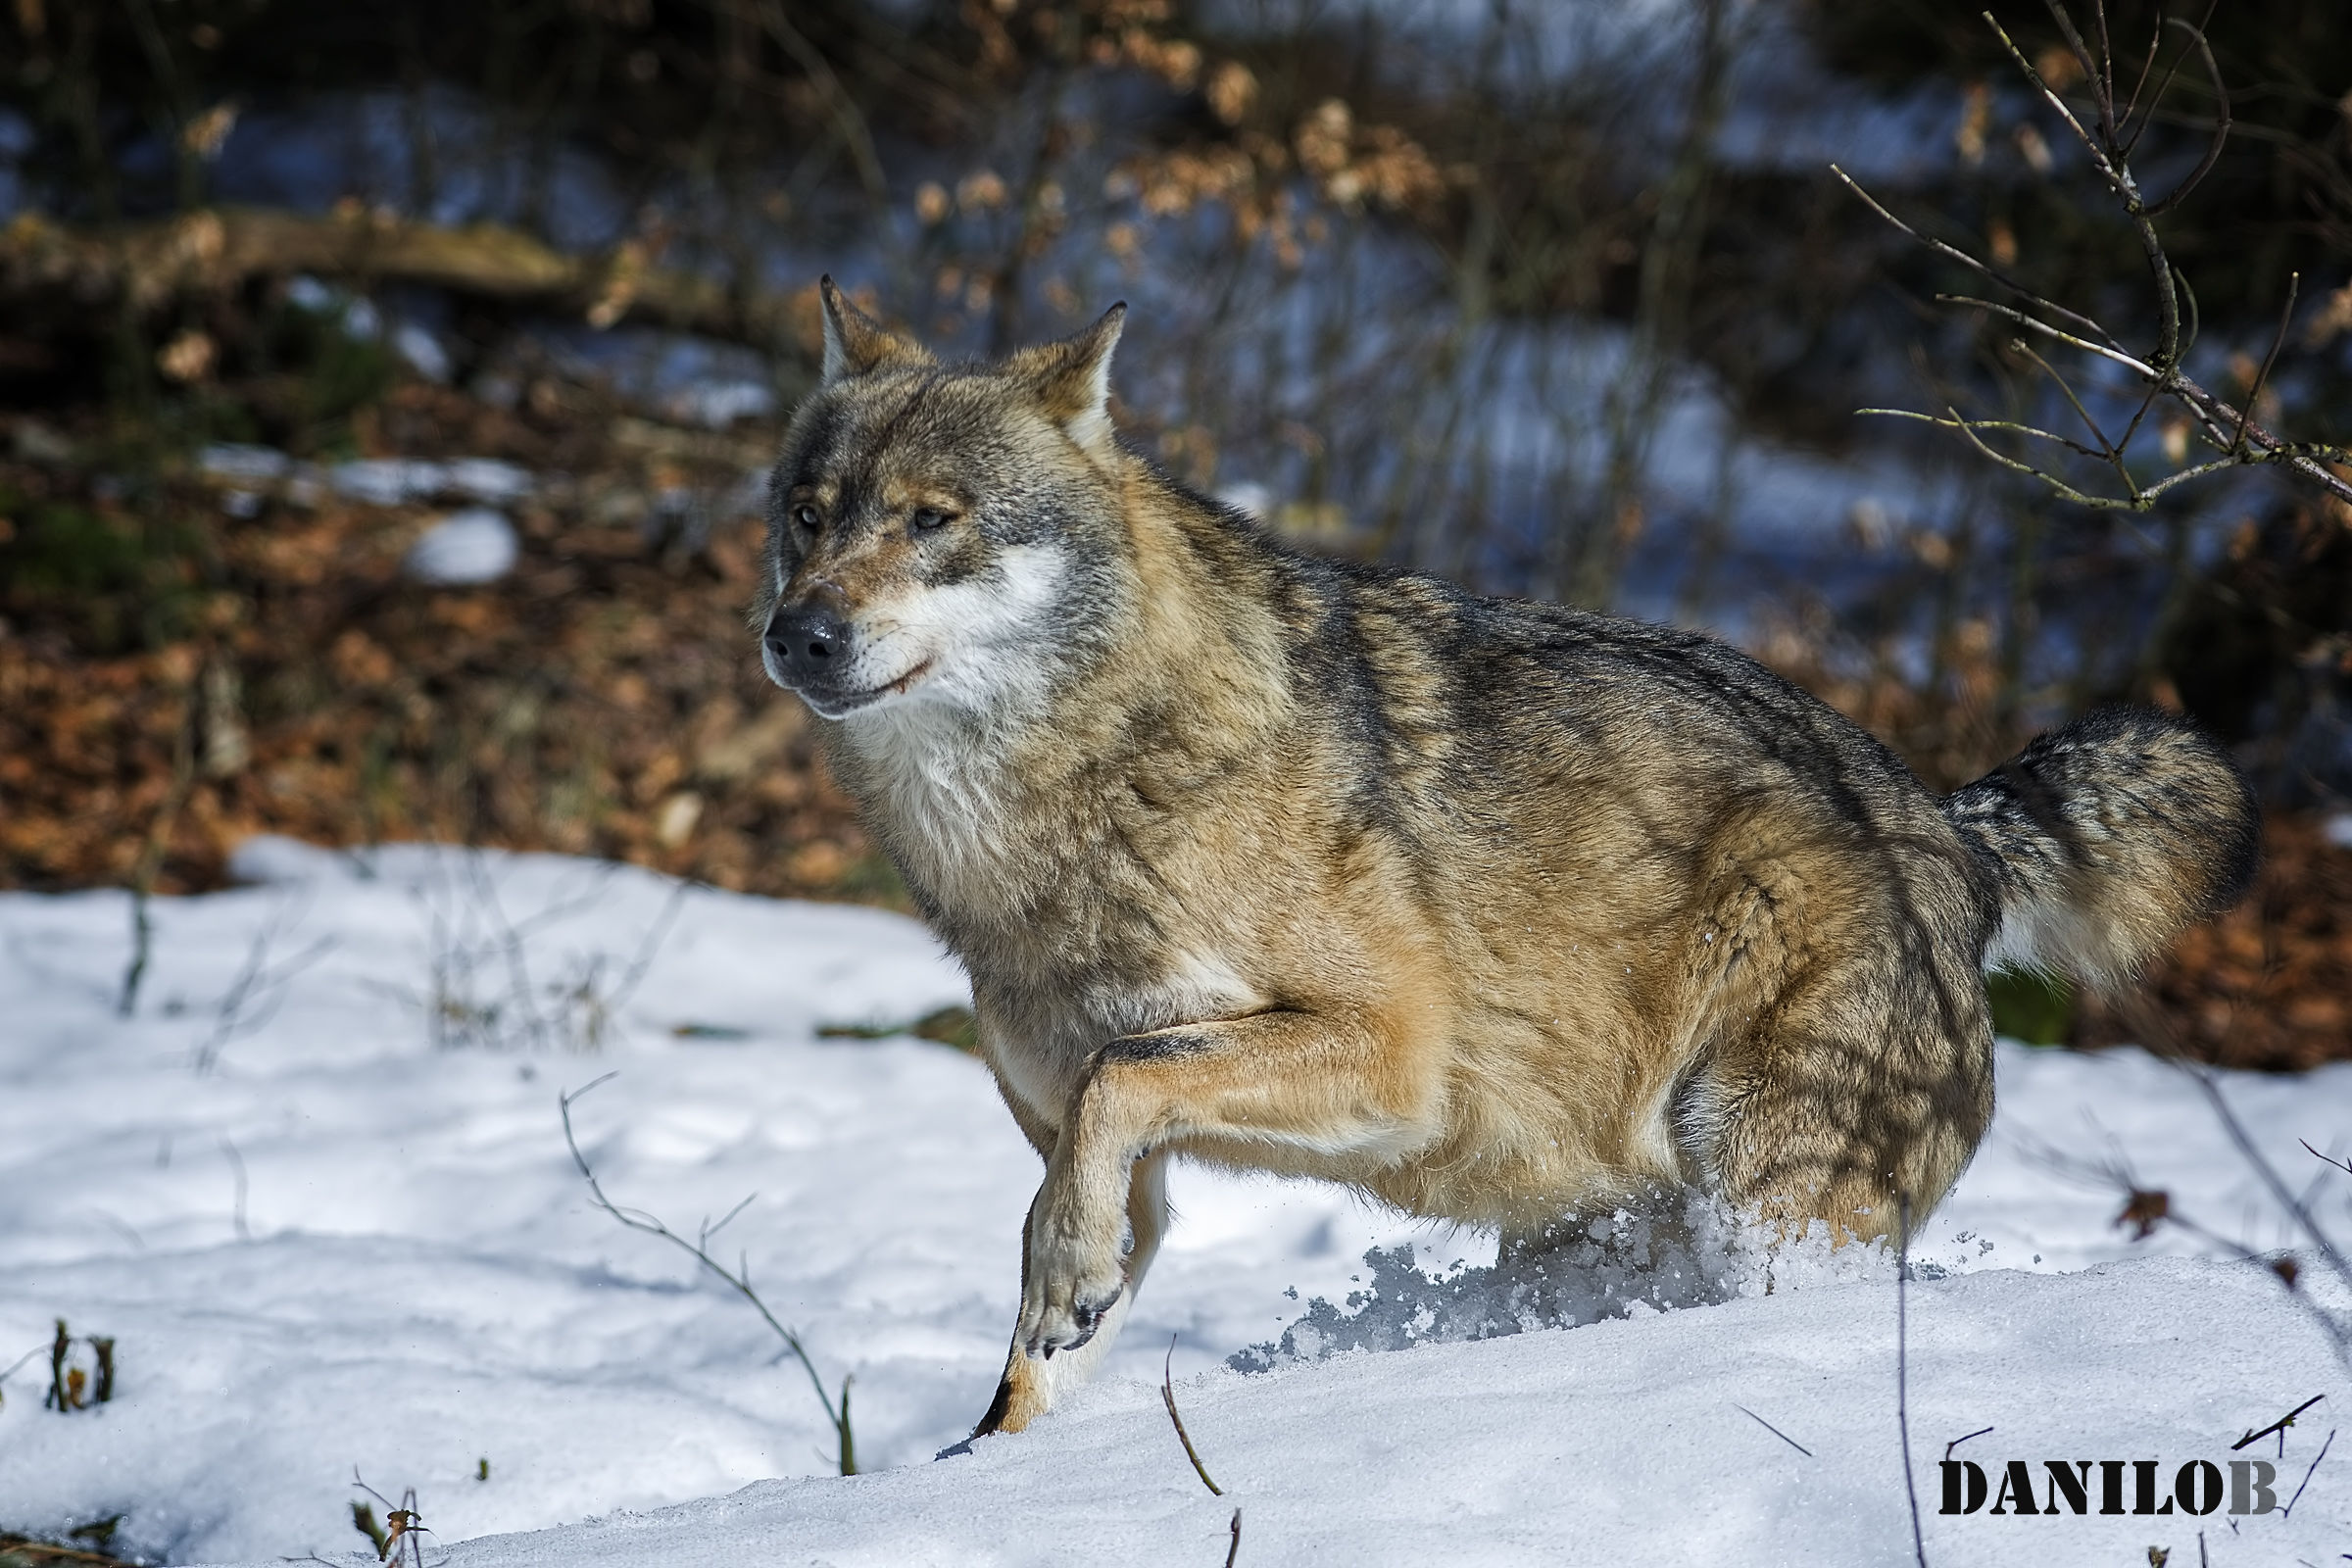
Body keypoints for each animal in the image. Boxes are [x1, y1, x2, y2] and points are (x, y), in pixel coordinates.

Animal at [753, 278, 2258, 1439]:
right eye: (809, 517)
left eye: (933, 519)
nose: (797, 635)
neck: (1081, 799)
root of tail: (1951, 831)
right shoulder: (1127, 1163)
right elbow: (1042, 1320)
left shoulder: (1384, 1058)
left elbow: (1119, 1082)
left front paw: (1061, 1276)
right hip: (1590, 1224)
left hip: (1761, 1197)